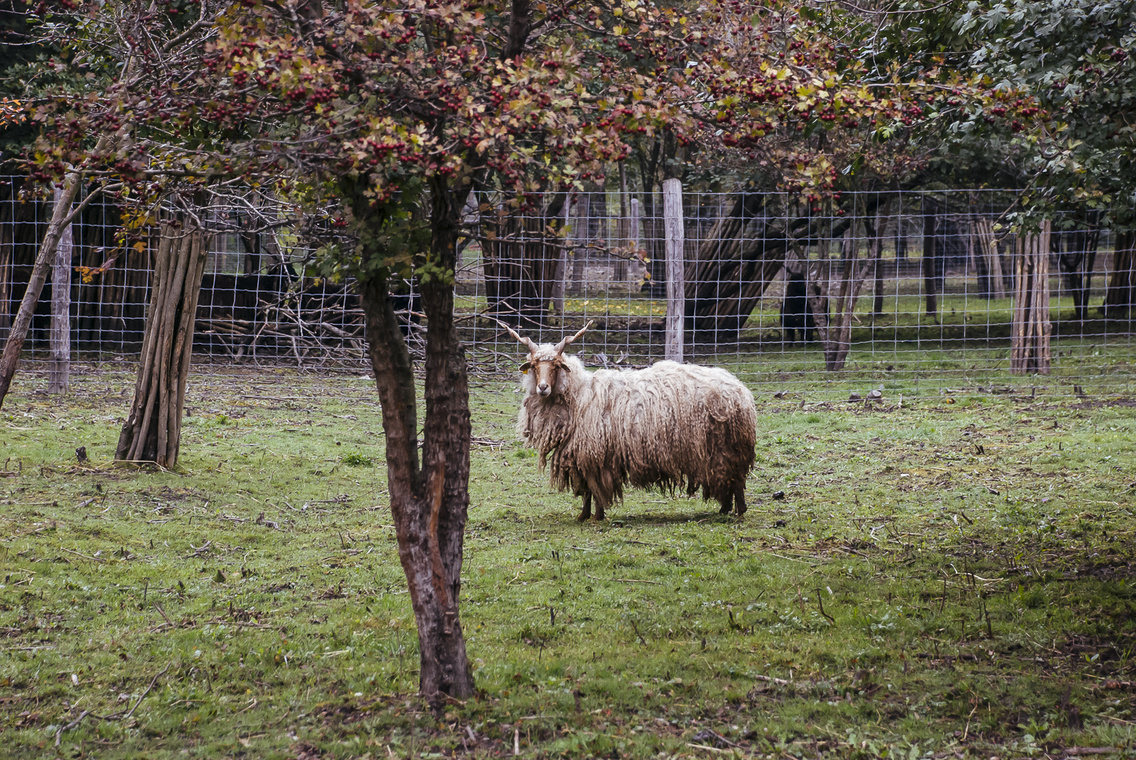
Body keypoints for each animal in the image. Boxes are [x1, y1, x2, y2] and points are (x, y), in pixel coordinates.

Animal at [506, 320, 754, 522]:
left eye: (556, 366)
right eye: (534, 366)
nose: (543, 388)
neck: (578, 396)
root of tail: (741, 390)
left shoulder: (595, 453)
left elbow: (595, 488)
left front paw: (597, 515)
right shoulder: (581, 454)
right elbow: (587, 490)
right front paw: (584, 515)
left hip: (727, 449)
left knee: (736, 479)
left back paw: (739, 511)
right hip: (720, 452)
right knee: (728, 480)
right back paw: (724, 509)